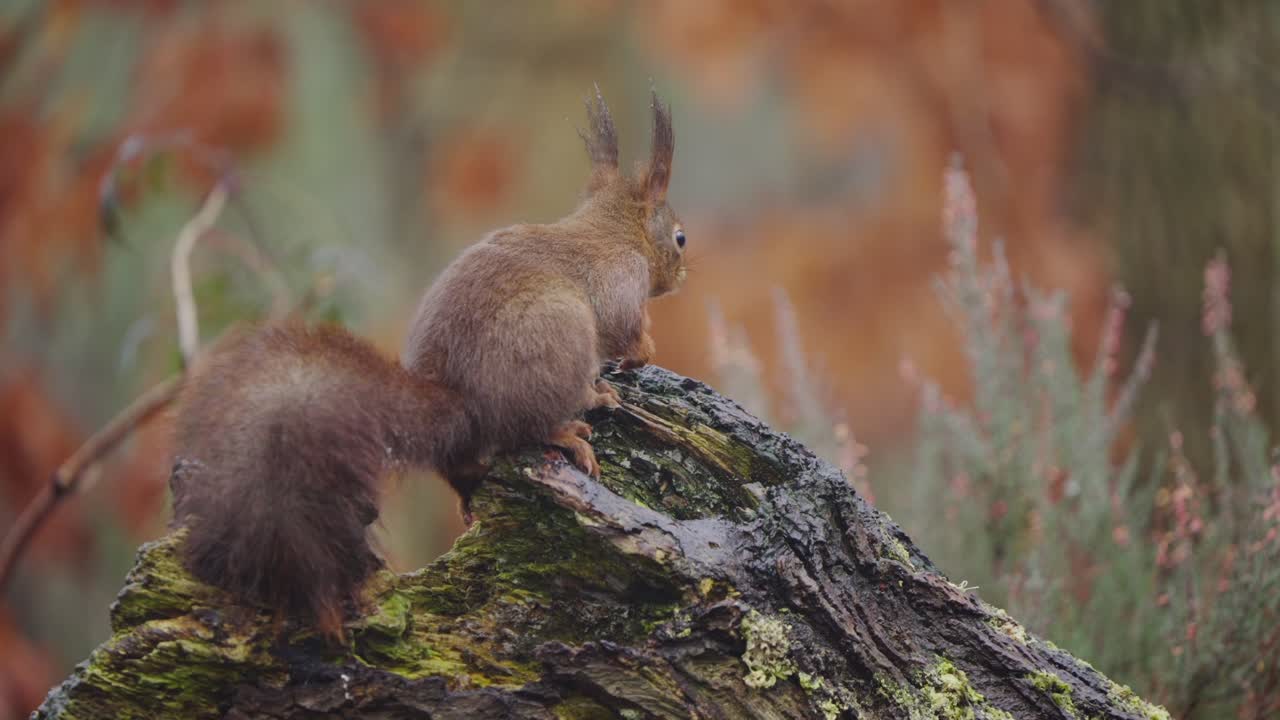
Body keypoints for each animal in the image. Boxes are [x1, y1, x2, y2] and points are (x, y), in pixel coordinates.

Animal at [167, 89, 686, 641]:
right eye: (680, 239)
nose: (681, 277)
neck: (613, 229)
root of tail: (463, 407)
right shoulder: (621, 279)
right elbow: (622, 327)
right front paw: (639, 355)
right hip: (555, 339)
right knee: (526, 428)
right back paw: (574, 421)